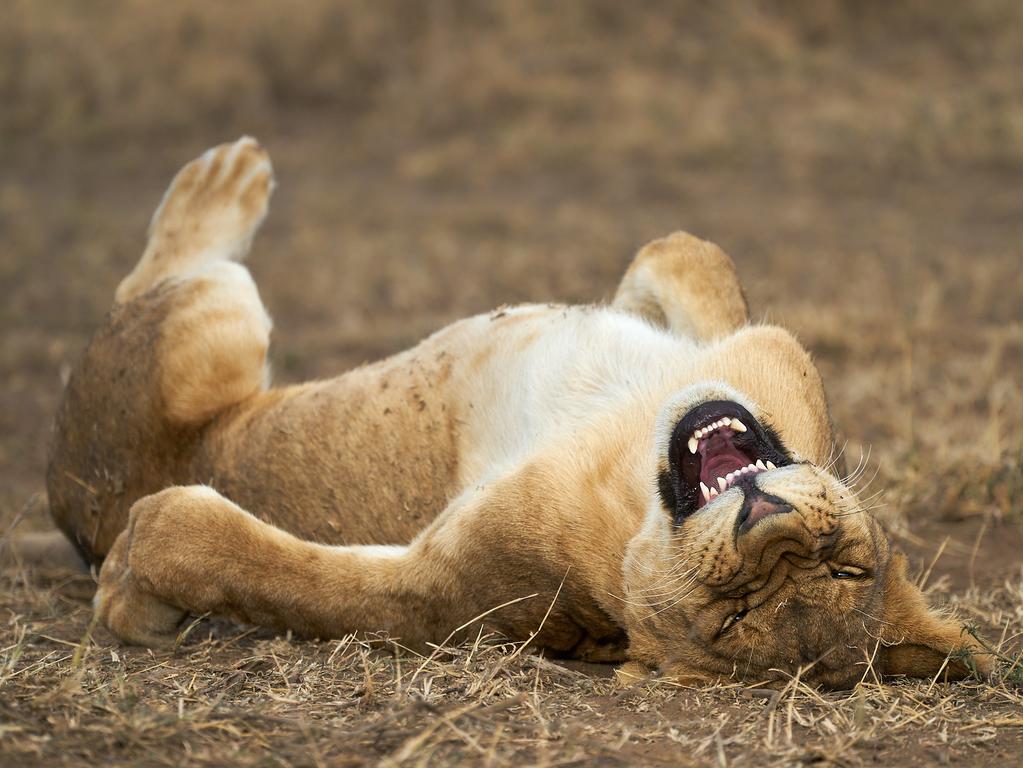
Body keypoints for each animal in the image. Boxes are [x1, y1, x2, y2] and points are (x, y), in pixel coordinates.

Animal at [36, 138, 986, 691]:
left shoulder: (445, 592)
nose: (773, 531)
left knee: (164, 283)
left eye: (732, 618)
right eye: (846, 566)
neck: (630, 465)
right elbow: (687, 252)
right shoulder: (749, 348)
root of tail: (68, 501)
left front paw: (132, 585)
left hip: (211, 325)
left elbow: (273, 572)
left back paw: (223, 182)